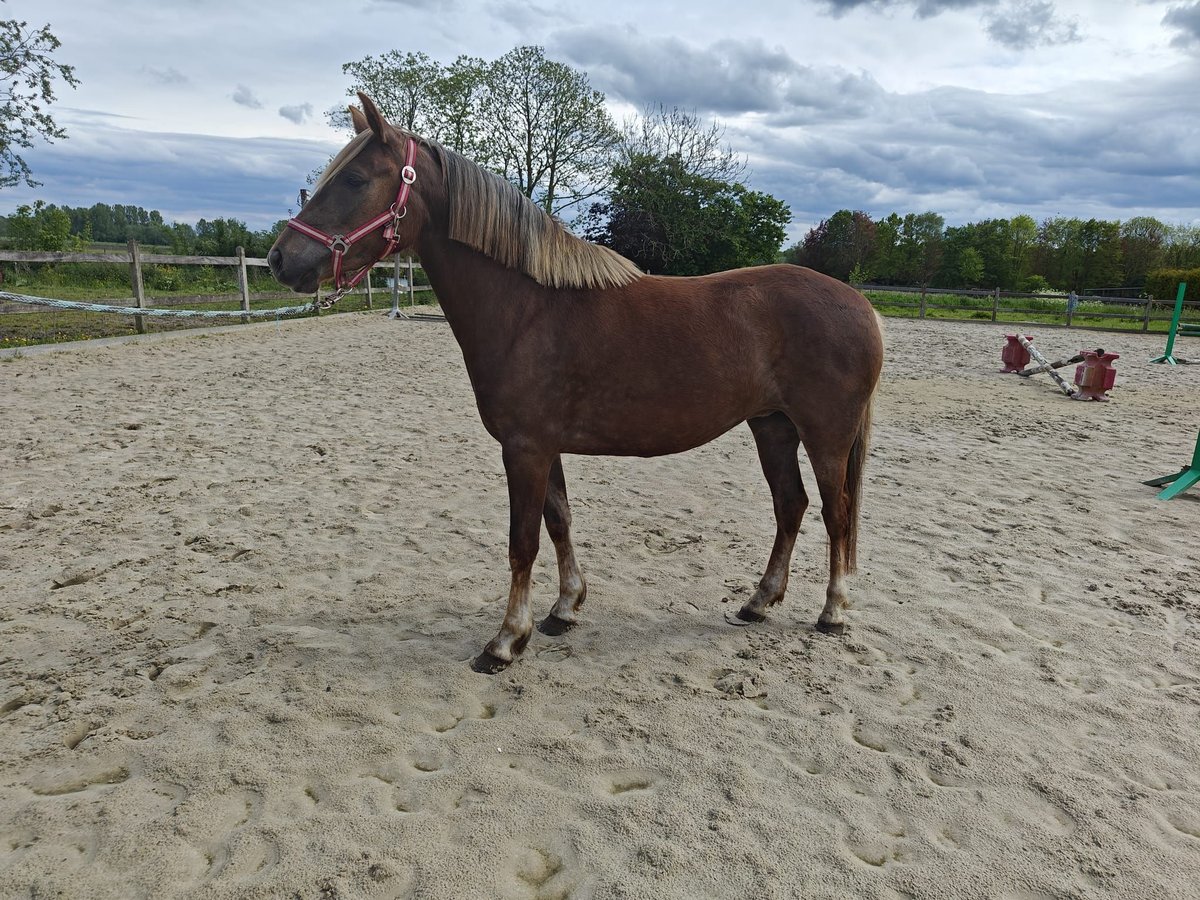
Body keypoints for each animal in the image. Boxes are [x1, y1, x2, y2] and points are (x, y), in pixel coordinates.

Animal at [274, 95, 892, 672]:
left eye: (354, 179)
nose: (282, 259)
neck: (529, 309)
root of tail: (859, 303)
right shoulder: (542, 447)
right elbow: (559, 522)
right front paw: (564, 609)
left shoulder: (525, 448)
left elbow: (522, 542)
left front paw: (506, 641)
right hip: (772, 427)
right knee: (791, 506)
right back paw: (758, 603)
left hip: (825, 435)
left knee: (836, 512)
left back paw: (833, 612)